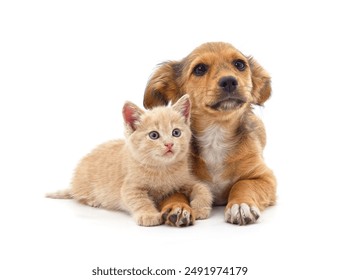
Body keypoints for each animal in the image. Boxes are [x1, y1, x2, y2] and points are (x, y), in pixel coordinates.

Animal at [47, 95, 212, 226]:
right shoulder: (130, 187)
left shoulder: (185, 180)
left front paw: (200, 209)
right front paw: (148, 215)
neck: (162, 169)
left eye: (176, 133)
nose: (169, 144)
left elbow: (202, 188)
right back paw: (93, 201)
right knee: (79, 196)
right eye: (154, 135)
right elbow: (139, 200)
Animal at [143, 42, 276, 225]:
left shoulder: (265, 177)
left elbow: (243, 185)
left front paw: (241, 205)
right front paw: (178, 206)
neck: (216, 135)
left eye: (240, 64)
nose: (229, 81)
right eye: (200, 69)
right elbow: (173, 192)